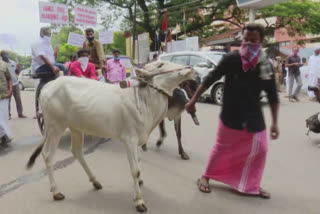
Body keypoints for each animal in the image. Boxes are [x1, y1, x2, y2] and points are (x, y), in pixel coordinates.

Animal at [26, 61, 192, 212]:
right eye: (160, 65)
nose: (189, 68)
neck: (145, 99)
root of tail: (49, 85)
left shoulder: (137, 140)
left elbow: (138, 164)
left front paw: (139, 184)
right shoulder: (129, 139)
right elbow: (135, 170)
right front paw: (139, 201)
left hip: (76, 128)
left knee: (77, 152)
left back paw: (95, 181)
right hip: (55, 127)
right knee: (48, 155)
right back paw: (56, 192)